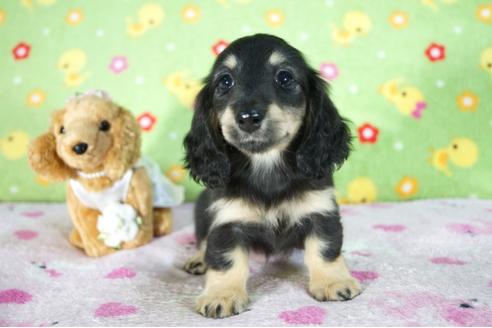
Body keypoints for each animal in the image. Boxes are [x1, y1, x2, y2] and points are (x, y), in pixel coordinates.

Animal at [183, 34, 360, 320]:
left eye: (285, 77)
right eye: (225, 81)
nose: (248, 118)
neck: (267, 165)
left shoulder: (321, 211)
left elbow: (325, 249)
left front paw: (333, 281)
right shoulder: (226, 221)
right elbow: (224, 259)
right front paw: (222, 295)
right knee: (202, 242)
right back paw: (199, 260)